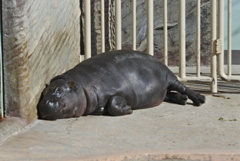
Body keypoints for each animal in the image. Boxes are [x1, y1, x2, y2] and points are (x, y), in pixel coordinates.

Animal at [37, 50, 204, 119]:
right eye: (43, 94)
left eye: (59, 89)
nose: (44, 104)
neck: (80, 86)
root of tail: (158, 59)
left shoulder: (120, 91)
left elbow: (113, 102)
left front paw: (128, 109)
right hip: (159, 90)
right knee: (168, 94)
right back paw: (182, 100)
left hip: (169, 77)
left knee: (182, 87)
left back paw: (199, 100)